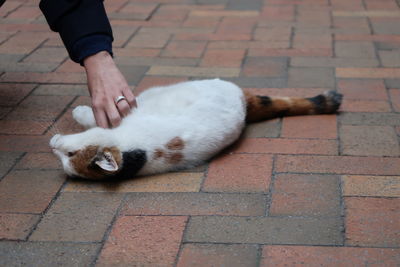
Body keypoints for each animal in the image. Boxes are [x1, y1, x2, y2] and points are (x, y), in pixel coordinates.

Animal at [50, 79, 342, 180]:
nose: (53, 146)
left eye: (70, 155)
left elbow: (96, 119)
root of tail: (244, 102)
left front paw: (80, 113)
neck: (137, 154)